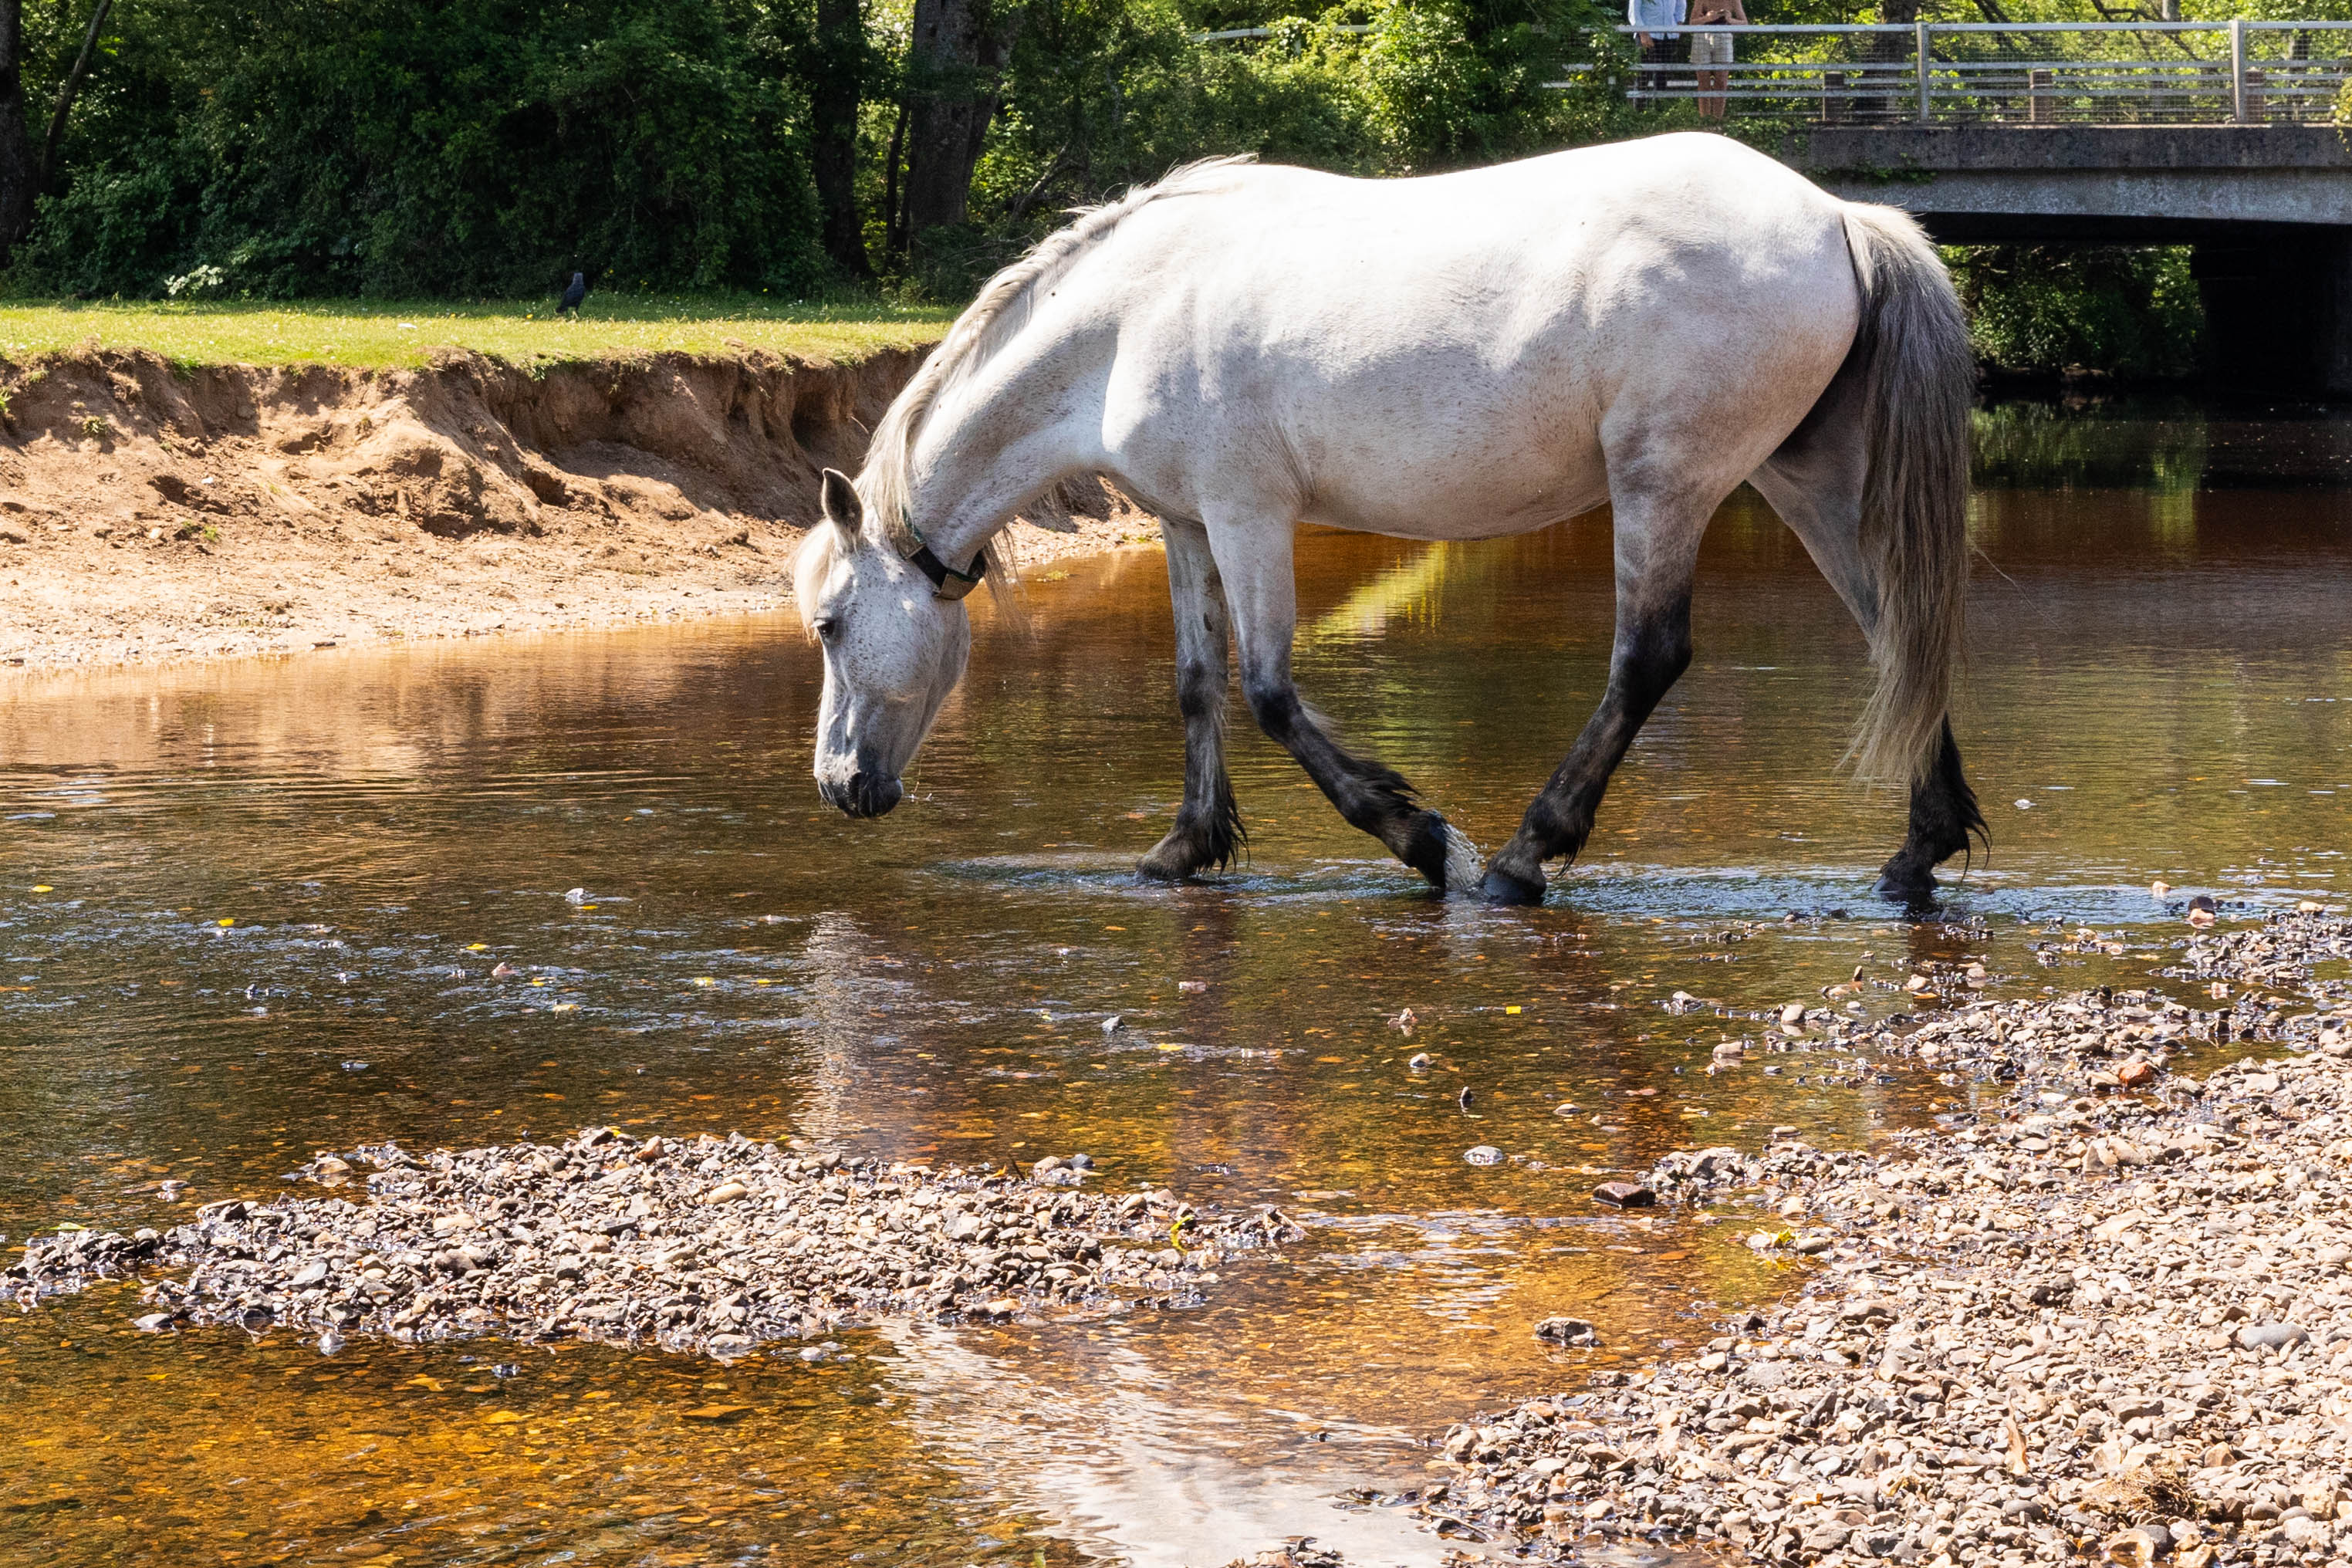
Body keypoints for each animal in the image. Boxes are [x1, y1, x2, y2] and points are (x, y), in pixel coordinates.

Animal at [795, 135, 1985, 907]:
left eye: (830, 625)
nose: (840, 787)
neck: (1130, 315)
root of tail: (1839, 217)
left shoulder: (1250, 516)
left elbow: (1272, 695)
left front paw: (1424, 842)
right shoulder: (1189, 523)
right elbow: (1196, 685)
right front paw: (1184, 848)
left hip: (1669, 485)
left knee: (1648, 659)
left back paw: (1519, 859)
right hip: (1806, 480)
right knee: (1901, 633)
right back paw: (1917, 854)